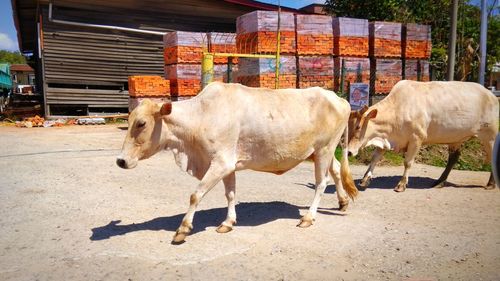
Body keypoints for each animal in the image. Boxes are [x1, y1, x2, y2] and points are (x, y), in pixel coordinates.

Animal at [117, 81, 358, 243]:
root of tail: (338, 98)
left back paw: (308, 217)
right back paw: (343, 202)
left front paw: (183, 229)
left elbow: (196, 194)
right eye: (130, 120)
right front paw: (228, 222)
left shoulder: (221, 162)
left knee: (321, 182)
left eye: (141, 123)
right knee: (337, 171)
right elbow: (230, 194)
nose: (120, 160)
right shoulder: (228, 165)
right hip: (320, 152)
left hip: (325, 149)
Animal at [350, 80, 498, 191]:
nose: (349, 152)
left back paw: (491, 184)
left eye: (358, 127)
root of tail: (491, 95)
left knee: (492, 157)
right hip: (456, 139)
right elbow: (374, 158)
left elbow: (408, 162)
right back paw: (440, 182)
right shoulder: (386, 139)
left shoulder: (416, 139)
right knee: (453, 158)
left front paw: (402, 184)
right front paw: (365, 179)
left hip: (490, 136)